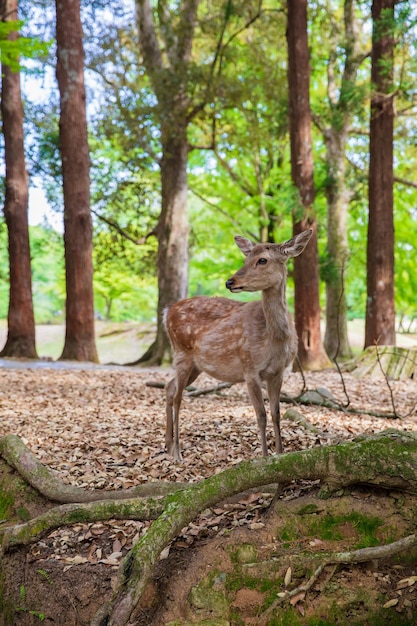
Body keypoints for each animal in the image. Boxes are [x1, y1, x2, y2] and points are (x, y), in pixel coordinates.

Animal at [162, 228, 312, 458]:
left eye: (262, 259)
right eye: (245, 258)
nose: (229, 282)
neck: (274, 339)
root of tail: (167, 311)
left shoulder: (278, 372)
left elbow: (276, 413)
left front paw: (280, 454)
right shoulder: (250, 368)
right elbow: (261, 415)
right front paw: (265, 458)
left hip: (196, 365)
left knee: (169, 387)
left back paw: (169, 446)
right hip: (181, 352)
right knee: (178, 395)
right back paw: (177, 452)